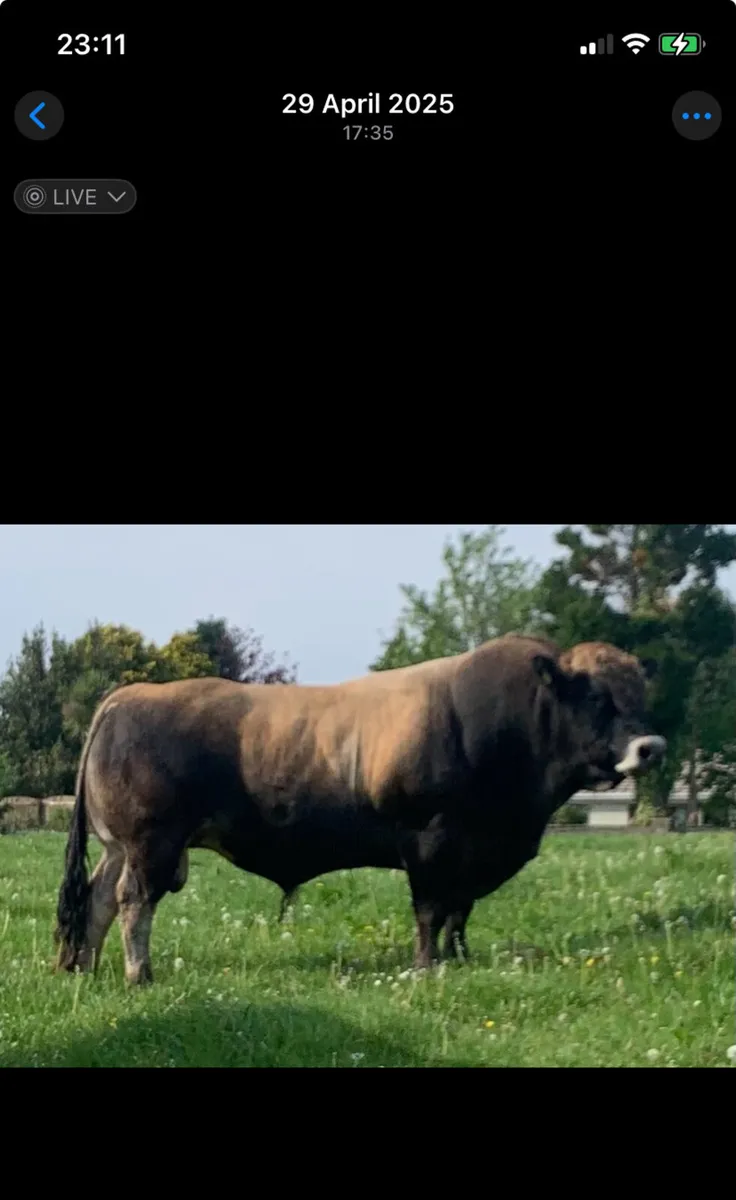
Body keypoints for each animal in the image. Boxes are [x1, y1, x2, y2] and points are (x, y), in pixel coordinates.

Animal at [54, 634, 666, 984]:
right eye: (596, 698)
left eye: (640, 695)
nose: (651, 746)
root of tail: (129, 695)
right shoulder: (431, 840)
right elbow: (431, 911)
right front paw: (426, 966)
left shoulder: (473, 853)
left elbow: (459, 912)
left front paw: (460, 959)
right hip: (151, 845)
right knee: (133, 903)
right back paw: (139, 974)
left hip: (120, 847)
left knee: (97, 900)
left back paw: (85, 967)